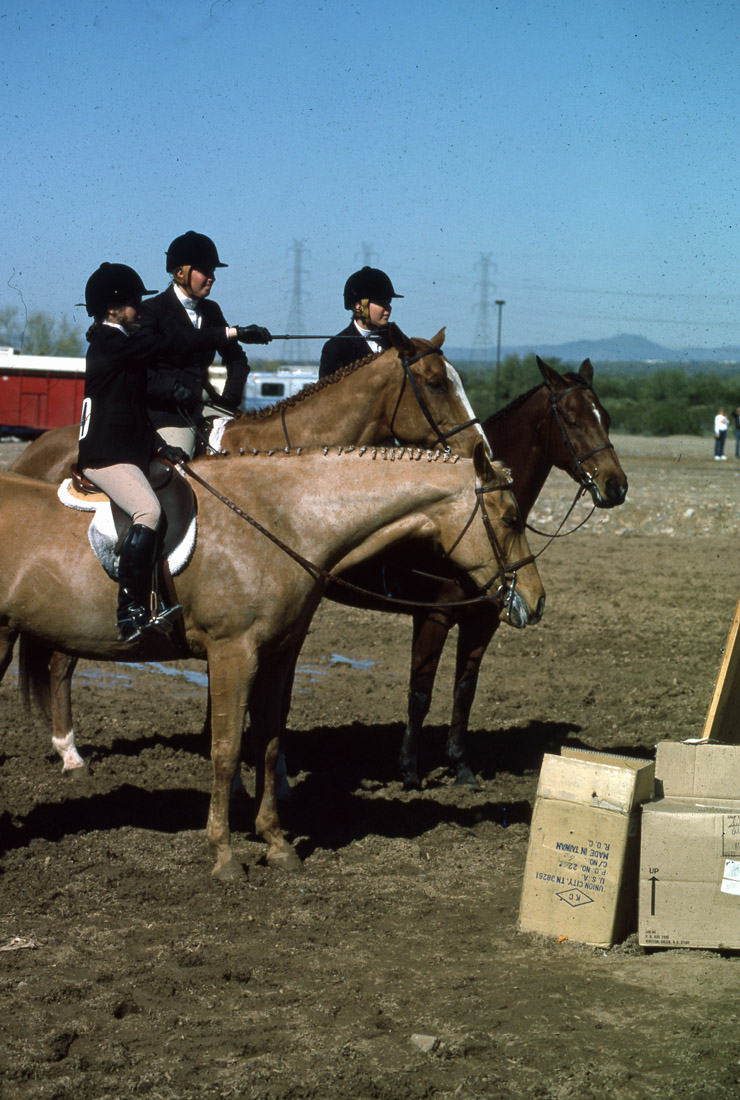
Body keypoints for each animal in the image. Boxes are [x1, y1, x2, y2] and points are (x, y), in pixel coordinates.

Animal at [0, 444, 543, 875]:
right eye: (510, 519)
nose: (535, 603)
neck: (284, 518)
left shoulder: (278, 654)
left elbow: (267, 742)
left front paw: (277, 845)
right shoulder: (232, 652)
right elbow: (226, 751)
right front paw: (223, 856)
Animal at [325, 358, 624, 792]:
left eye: (606, 416)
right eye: (571, 418)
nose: (615, 486)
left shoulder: (482, 621)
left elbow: (464, 691)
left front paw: (461, 766)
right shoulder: (432, 618)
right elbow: (420, 693)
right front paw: (410, 770)